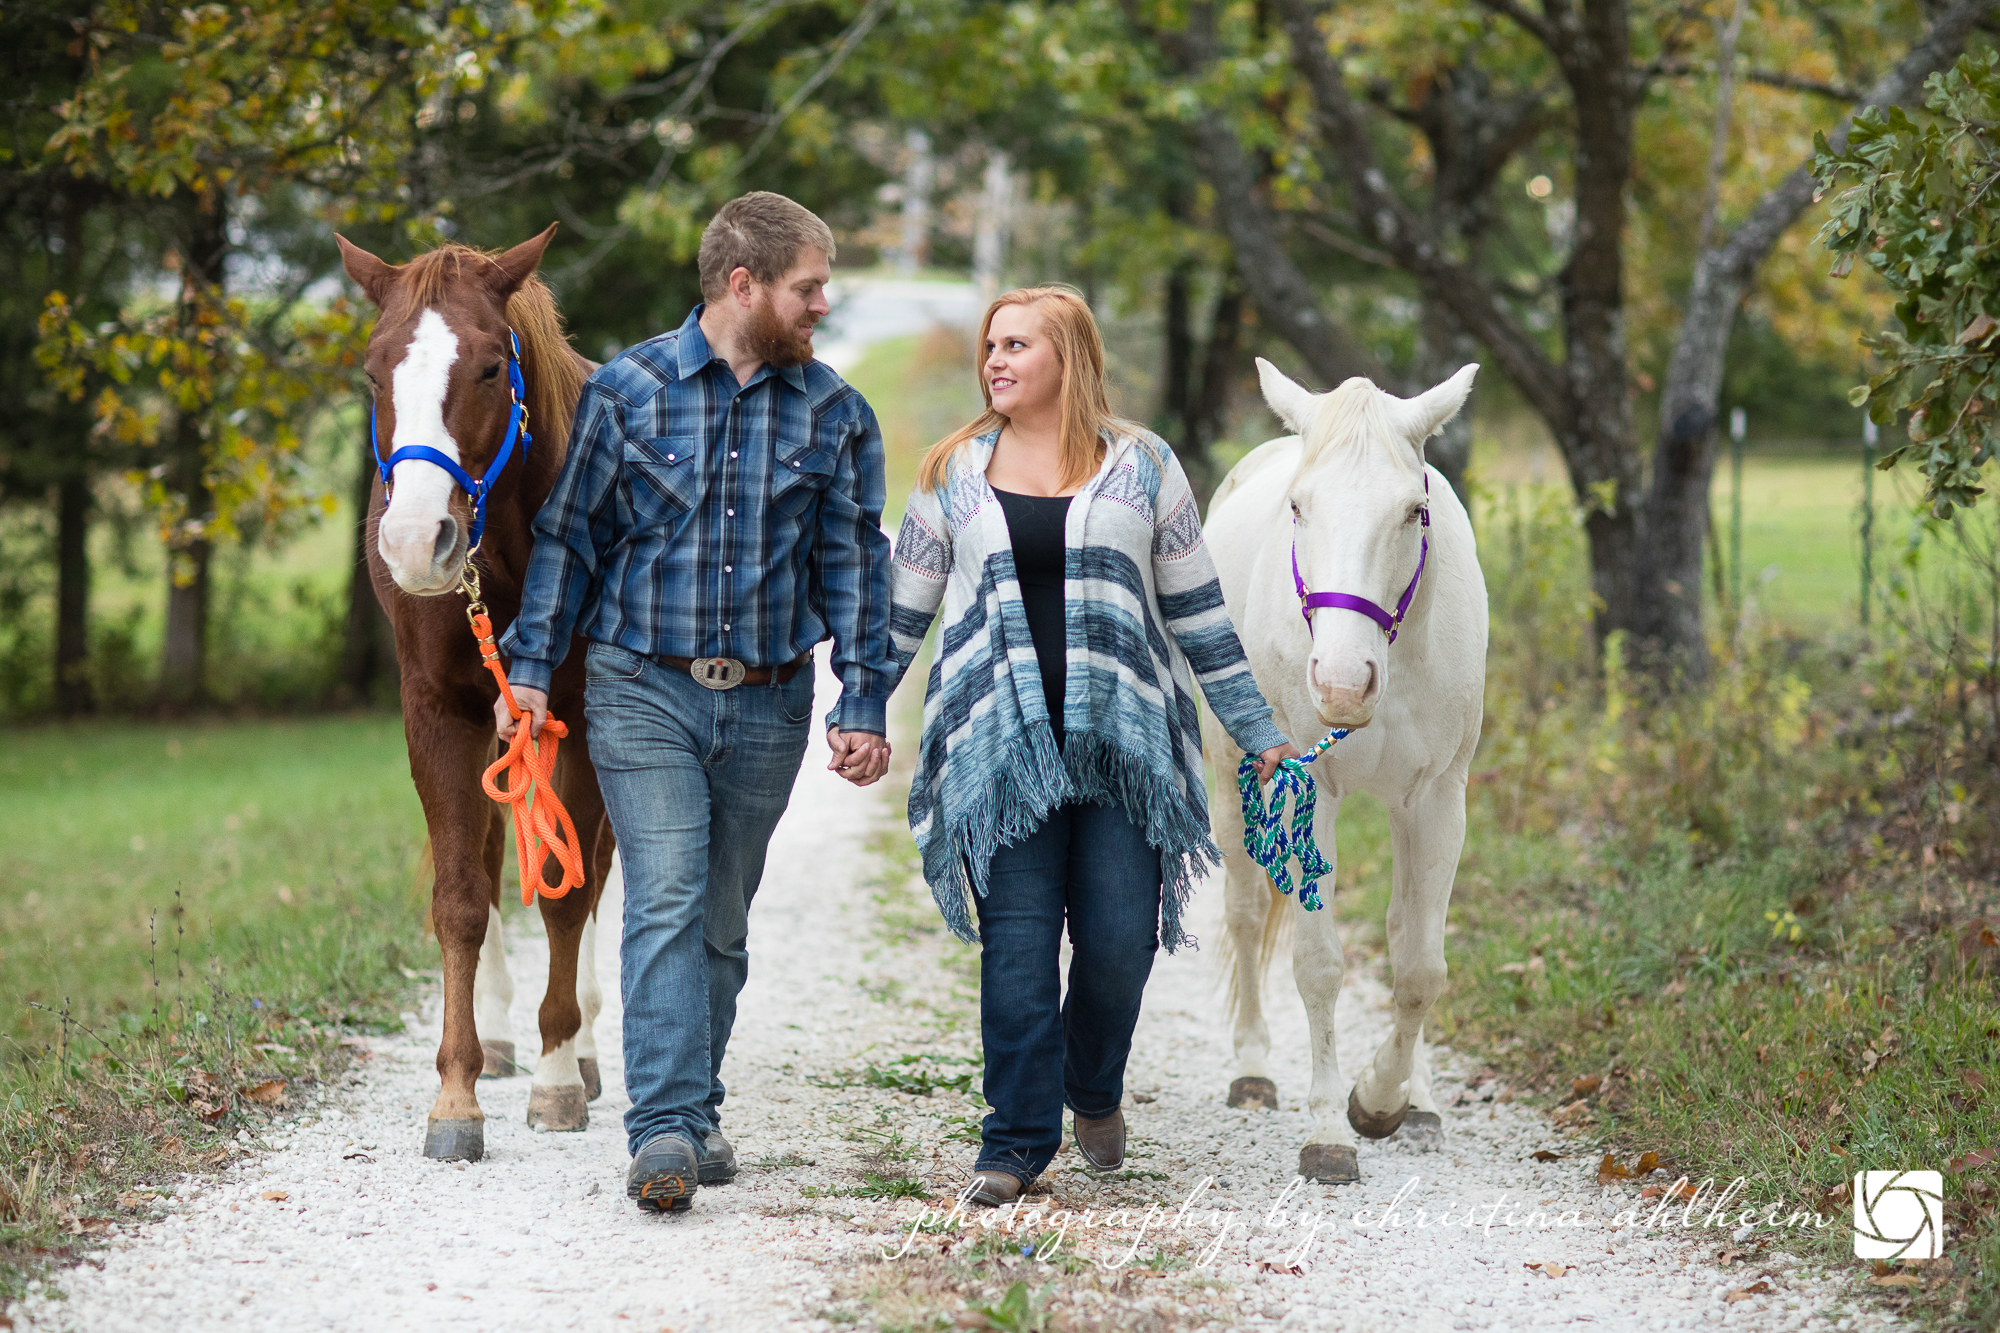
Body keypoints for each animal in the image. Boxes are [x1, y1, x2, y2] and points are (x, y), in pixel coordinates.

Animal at [336, 223, 616, 1160]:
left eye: (493, 367)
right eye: (373, 372)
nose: (417, 540)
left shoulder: (581, 720)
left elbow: (566, 896)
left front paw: (560, 1075)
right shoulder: (441, 713)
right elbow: (461, 894)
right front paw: (455, 1093)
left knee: (597, 872)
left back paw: (586, 1045)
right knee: (494, 860)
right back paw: (494, 1037)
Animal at [1184, 358, 1488, 1176]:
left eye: (1414, 509)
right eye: (1299, 505)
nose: (1343, 685)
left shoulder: (1436, 799)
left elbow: (1418, 963)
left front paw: (1387, 1101)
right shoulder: (1307, 788)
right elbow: (1318, 962)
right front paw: (1328, 1129)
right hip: (1228, 776)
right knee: (1245, 911)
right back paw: (1253, 1069)